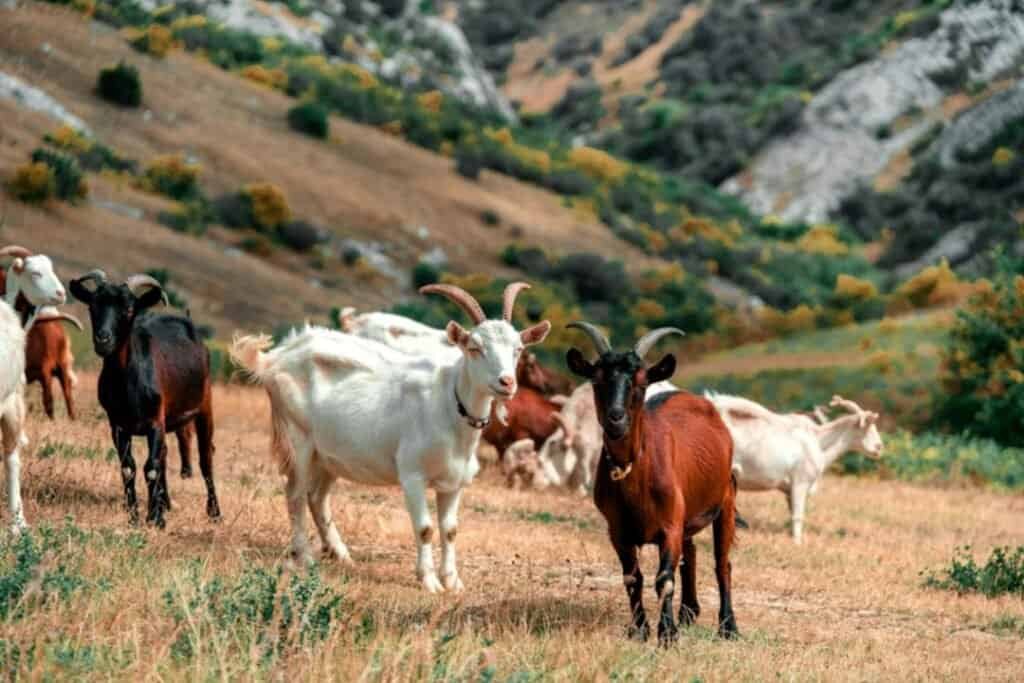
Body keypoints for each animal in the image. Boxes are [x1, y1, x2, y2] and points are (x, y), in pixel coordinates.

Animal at [69, 271, 219, 528]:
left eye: (129, 309)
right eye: (92, 306)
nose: (103, 340)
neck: (129, 385)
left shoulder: (154, 421)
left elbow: (151, 467)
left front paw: (155, 519)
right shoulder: (118, 425)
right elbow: (129, 467)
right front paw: (135, 516)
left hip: (204, 406)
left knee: (205, 458)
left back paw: (214, 512)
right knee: (165, 454)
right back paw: (165, 503)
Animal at [230, 283, 550, 592]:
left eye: (518, 349)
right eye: (474, 347)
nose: (506, 382)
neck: (450, 405)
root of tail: (276, 358)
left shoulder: (453, 483)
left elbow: (450, 530)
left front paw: (453, 582)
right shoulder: (413, 475)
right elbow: (425, 528)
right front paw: (430, 582)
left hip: (330, 455)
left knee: (317, 497)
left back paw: (341, 553)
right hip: (298, 438)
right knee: (295, 494)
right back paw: (305, 556)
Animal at [567, 323, 739, 643]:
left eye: (641, 383)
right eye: (597, 380)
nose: (616, 419)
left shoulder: (669, 524)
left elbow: (664, 579)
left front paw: (667, 633)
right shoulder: (618, 531)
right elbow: (633, 578)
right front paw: (640, 629)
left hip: (725, 500)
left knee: (722, 563)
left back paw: (728, 626)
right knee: (691, 552)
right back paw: (689, 612)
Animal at [707, 392, 883, 543]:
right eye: (867, 426)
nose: (879, 447)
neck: (818, 442)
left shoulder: (788, 490)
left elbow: (792, 512)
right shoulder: (800, 482)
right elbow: (798, 515)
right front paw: (798, 543)